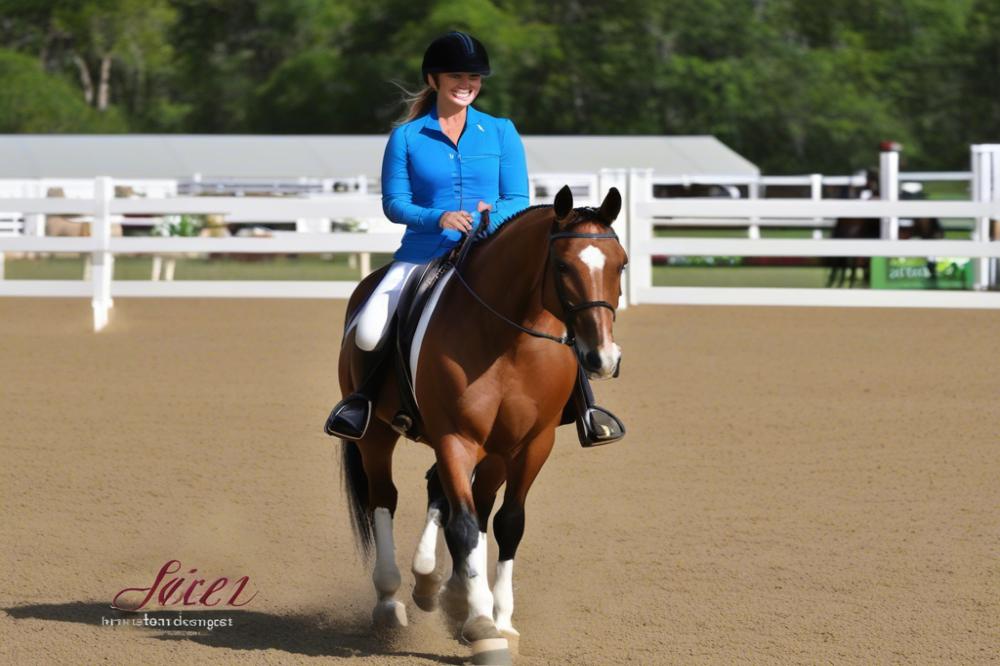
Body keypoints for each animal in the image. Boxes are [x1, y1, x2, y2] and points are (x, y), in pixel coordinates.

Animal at [336, 184, 624, 660]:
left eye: (622, 263)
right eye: (563, 265)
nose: (602, 358)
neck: (510, 341)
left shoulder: (531, 444)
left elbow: (507, 522)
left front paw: (499, 620)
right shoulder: (456, 438)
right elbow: (465, 525)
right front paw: (482, 625)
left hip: (494, 452)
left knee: (457, 495)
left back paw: (440, 587)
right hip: (376, 436)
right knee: (387, 498)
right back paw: (392, 601)